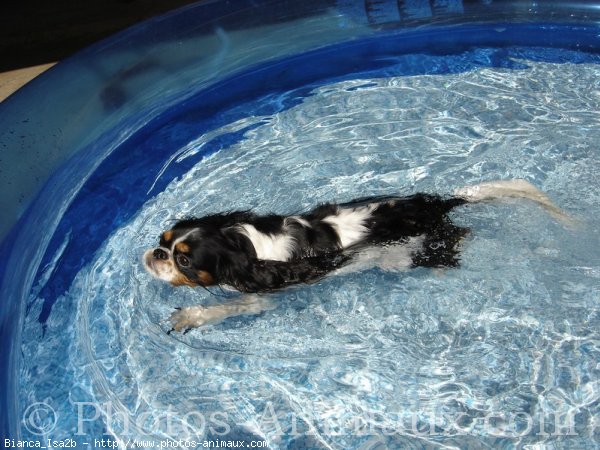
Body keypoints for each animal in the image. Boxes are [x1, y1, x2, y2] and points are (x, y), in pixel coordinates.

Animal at [143, 180, 568, 334]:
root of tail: (435, 204)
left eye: (183, 261)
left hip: (407, 254)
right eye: (163, 240)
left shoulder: (262, 295)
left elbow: (225, 308)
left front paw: (190, 316)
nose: (156, 253)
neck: (244, 245)